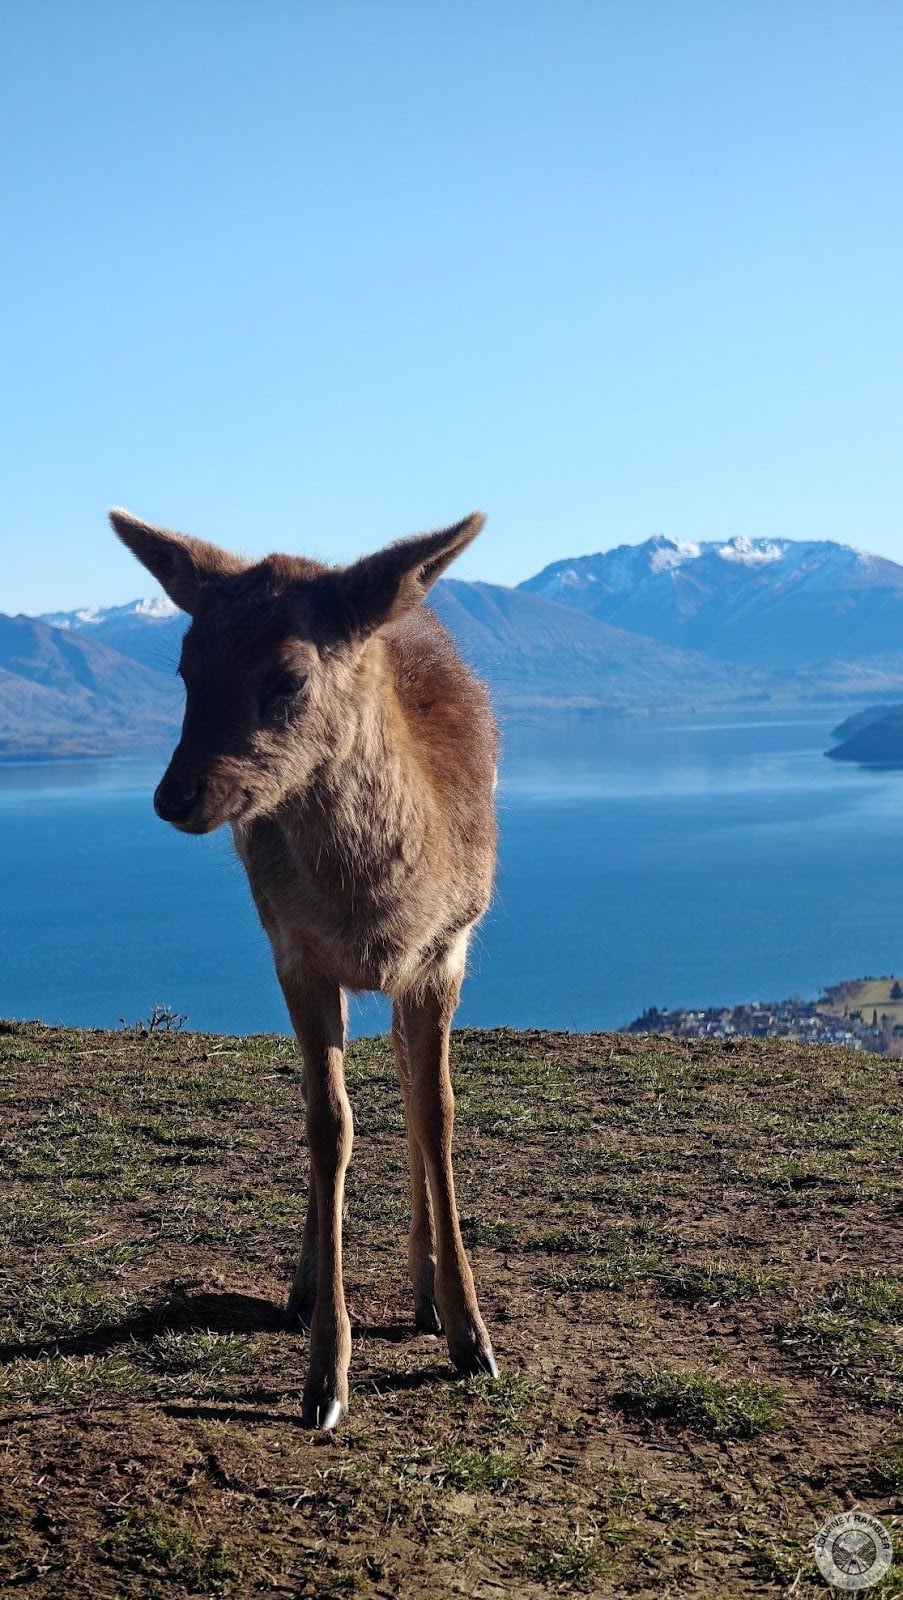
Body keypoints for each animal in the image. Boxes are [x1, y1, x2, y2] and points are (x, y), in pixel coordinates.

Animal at [110, 507, 499, 1430]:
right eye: (185, 666)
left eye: (288, 677)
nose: (175, 797)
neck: (382, 907)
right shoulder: (296, 955)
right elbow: (329, 1127)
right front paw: (326, 1376)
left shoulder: (446, 952)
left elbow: (436, 1115)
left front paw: (472, 1336)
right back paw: (308, 1285)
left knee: (409, 1084)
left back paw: (425, 1290)